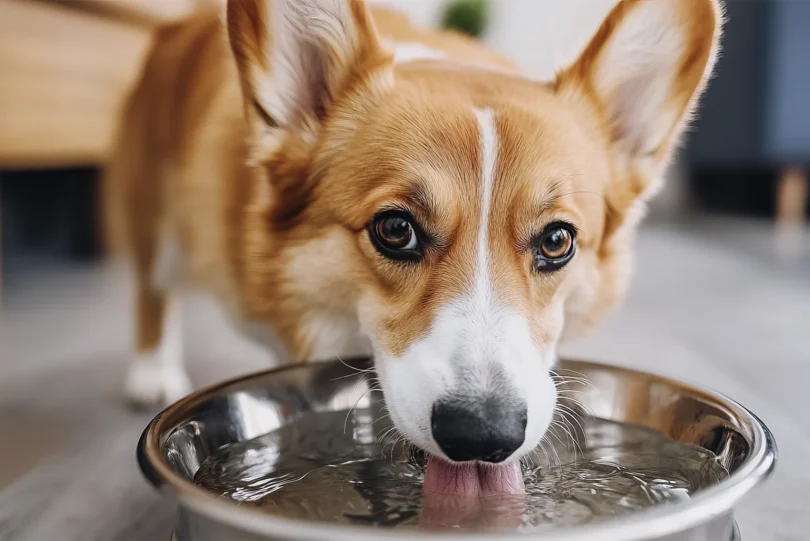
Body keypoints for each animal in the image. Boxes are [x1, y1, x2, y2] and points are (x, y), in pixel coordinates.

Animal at [105, 0, 720, 490]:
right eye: (395, 230)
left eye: (557, 240)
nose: (483, 436)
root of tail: (182, 21)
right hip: (154, 220)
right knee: (151, 289)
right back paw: (149, 370)